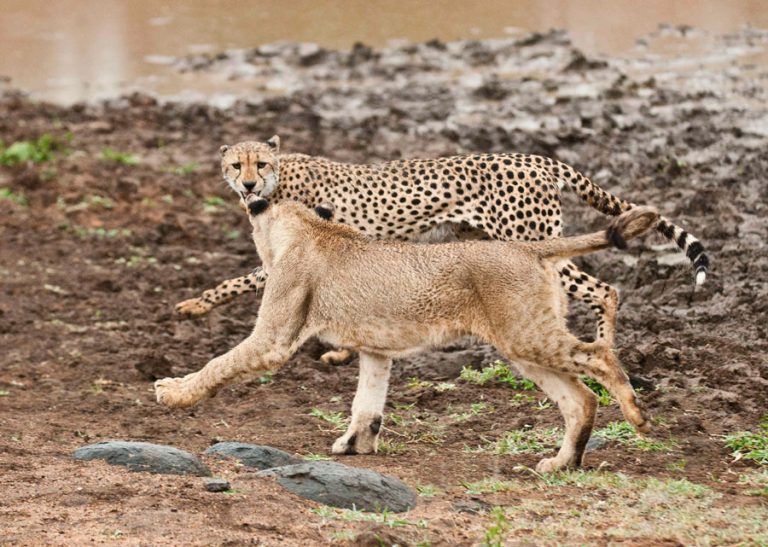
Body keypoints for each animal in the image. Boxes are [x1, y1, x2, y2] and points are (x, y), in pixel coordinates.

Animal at [158, 199, 660, 474]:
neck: (306, 226)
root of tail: (526, 247)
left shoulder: (274, 339)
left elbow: (218, 364)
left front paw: (174, 392)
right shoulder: (376, 349)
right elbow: (367, 403)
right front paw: (356, 445)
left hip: (526, 335)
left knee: (600, 359)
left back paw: (637, 417)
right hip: (522, 345)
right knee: (580, 398)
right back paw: (563, 463)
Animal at [178, 138, 708, 352]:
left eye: (261, 163)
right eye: (236, 165)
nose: (248, 184)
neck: (281, 179)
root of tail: (536, 158)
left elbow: (241, 279)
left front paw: (194, 305)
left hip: (532, 240)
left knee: (605, 290)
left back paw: (605, 348)